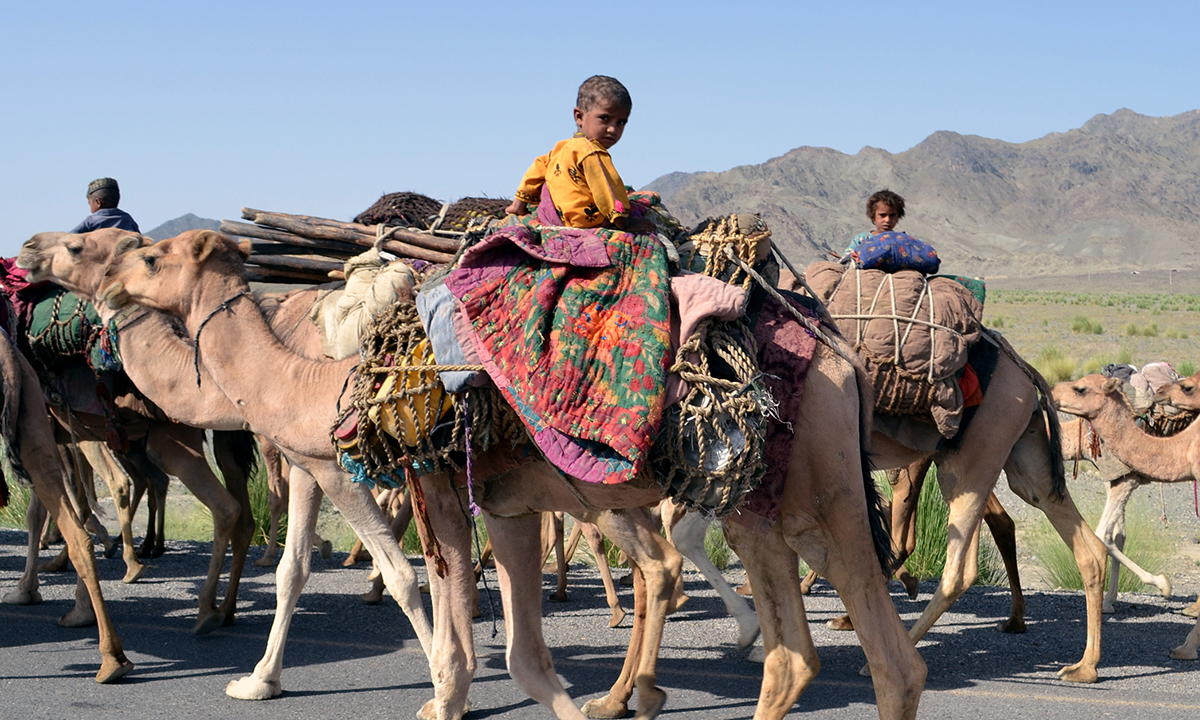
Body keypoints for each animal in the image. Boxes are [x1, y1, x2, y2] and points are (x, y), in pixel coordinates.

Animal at [96, 229, 926, 720]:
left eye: (148, 257)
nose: (105, 285)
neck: (323, 380)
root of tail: (841, 359)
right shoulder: (508, 505)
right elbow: (523, 657)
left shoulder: (428, 484)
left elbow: (444, 617)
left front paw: (437, 697)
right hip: (805, 505)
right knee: (884, 663)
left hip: (773, 498)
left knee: (799, 655)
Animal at [1051, 374, 1200, 662]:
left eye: (1080, 388)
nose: (1051, 392)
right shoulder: (1115, 478)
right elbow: (1118, 535)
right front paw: (1110, 601)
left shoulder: (1125, 478)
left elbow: (1103, 535)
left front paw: (1162, 585)